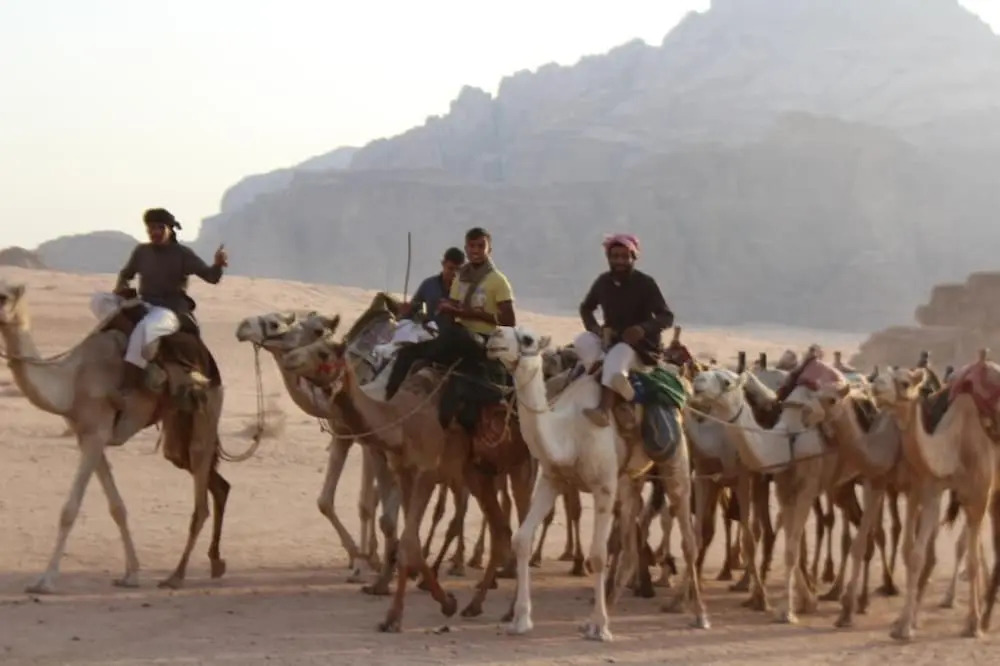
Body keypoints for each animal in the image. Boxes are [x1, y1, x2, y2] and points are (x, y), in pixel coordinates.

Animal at [0, 281, 229, 593]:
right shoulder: (86, 436)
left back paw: (176, 576)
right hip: (178, 427)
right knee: (215, 483)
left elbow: (69, 510)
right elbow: (117, 507)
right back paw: (216, 563)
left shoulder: (96, 434)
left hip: (207, 411)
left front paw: (45, 581)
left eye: (3, 296)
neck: (72, 381)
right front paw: (131, 574)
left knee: (201, 496)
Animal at [282, 322, 535, 632]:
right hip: (478, 473)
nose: (290, 358)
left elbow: (409, 541)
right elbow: (409, 540)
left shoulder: (426, 470)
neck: (401, 423)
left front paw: (396, 615)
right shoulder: (404, 472)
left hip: (521, 464)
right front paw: (444, 602)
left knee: (522, 528)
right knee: (502, 530)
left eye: (323, 352)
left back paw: (511, 611)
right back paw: (474, 606)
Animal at [484, 326, 709, 641]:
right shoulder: (552, 479)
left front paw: (601, 628)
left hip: (675, 462)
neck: (569, 433)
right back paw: (602, 612)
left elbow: (599, 555)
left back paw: (698, 614)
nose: (495, 335)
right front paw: (520, 620)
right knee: (630, 544)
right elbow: (522, 539)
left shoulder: (603, 487)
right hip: (629, 480)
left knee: (688, 540)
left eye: (527, 338)